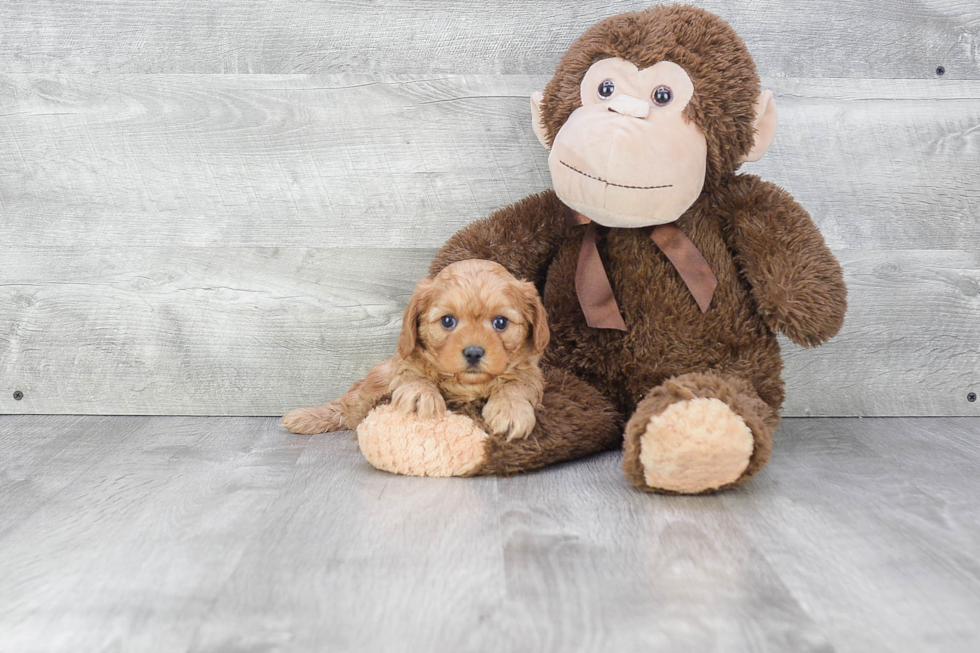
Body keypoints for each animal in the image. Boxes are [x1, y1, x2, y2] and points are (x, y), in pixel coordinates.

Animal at [282, 258, 552, 438]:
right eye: (447, 321)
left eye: (500, 322)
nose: (474, 352)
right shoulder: (405, 359)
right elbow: (414, 373)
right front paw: (420, 395)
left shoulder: (531, 373)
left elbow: (517, 383)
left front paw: (511, 410)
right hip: (373, 383)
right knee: (349, 405)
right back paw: (308, 417)